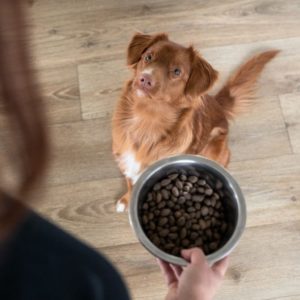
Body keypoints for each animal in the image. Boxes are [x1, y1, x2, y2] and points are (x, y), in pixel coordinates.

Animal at [113, 32, 278, 211]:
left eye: (177, 71)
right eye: (148, 57)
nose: (145, 79)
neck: (146, 120)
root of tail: (217, 103)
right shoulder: (127, 162)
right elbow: (131, 184)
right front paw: (126, 201)